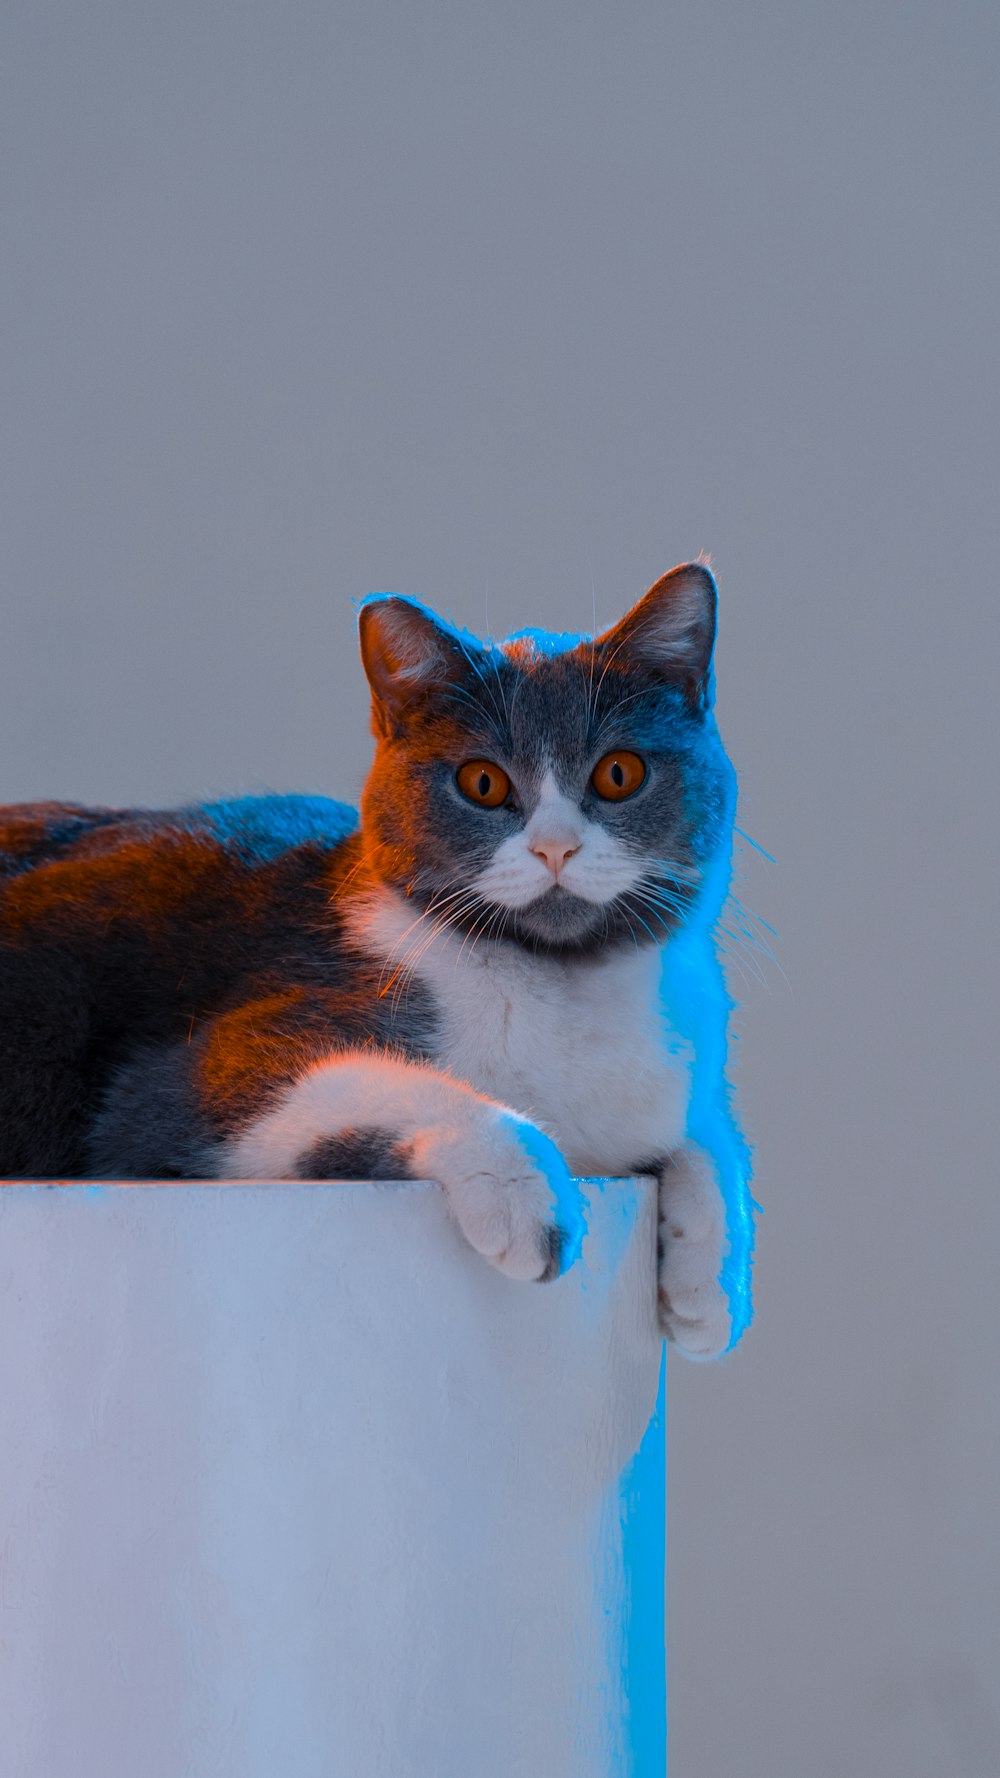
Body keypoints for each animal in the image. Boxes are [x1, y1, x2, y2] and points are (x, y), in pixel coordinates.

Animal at [0, 568, 747, 1358]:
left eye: (618, 773)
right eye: (483, 783)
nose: (555, 848)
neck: (564, 982)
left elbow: (702, 1134)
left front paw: (710, 1286)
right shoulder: (172, 1091)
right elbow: (348, 1081)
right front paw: (527, 1198)